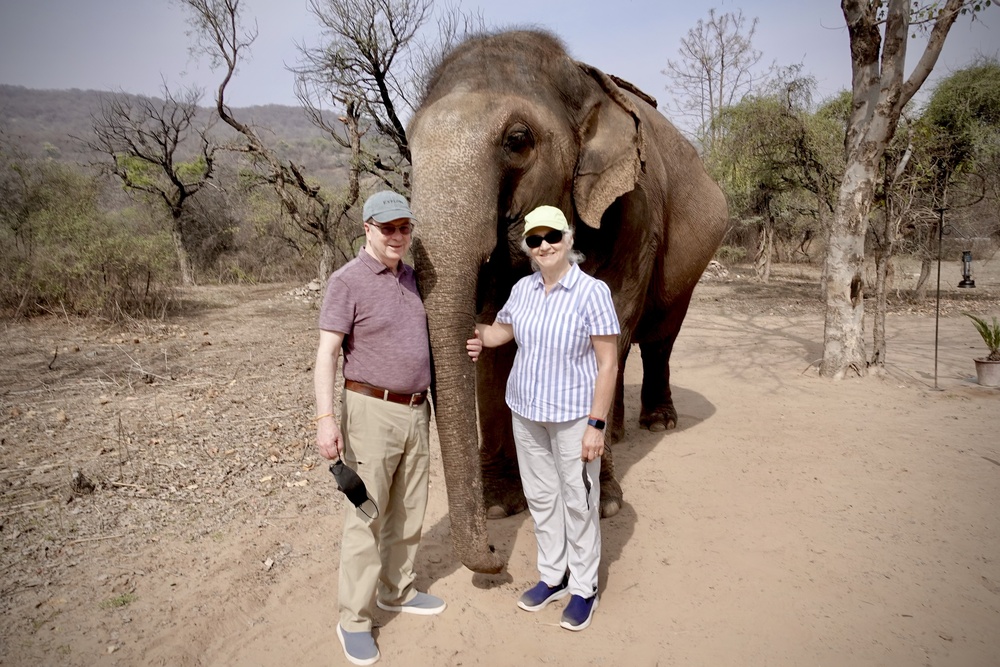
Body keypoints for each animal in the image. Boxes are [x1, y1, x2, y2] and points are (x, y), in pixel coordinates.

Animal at [406, 31, 728, 576]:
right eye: (408, 148)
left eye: (517, 140)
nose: (496, 559)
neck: (577, 81)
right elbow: (496, 330)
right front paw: (500, 505)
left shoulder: (634, 208)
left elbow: (612, 313)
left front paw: (606, 504)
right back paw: (618, 433)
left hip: (696, 254)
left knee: (658, 334)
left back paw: (658, 422)